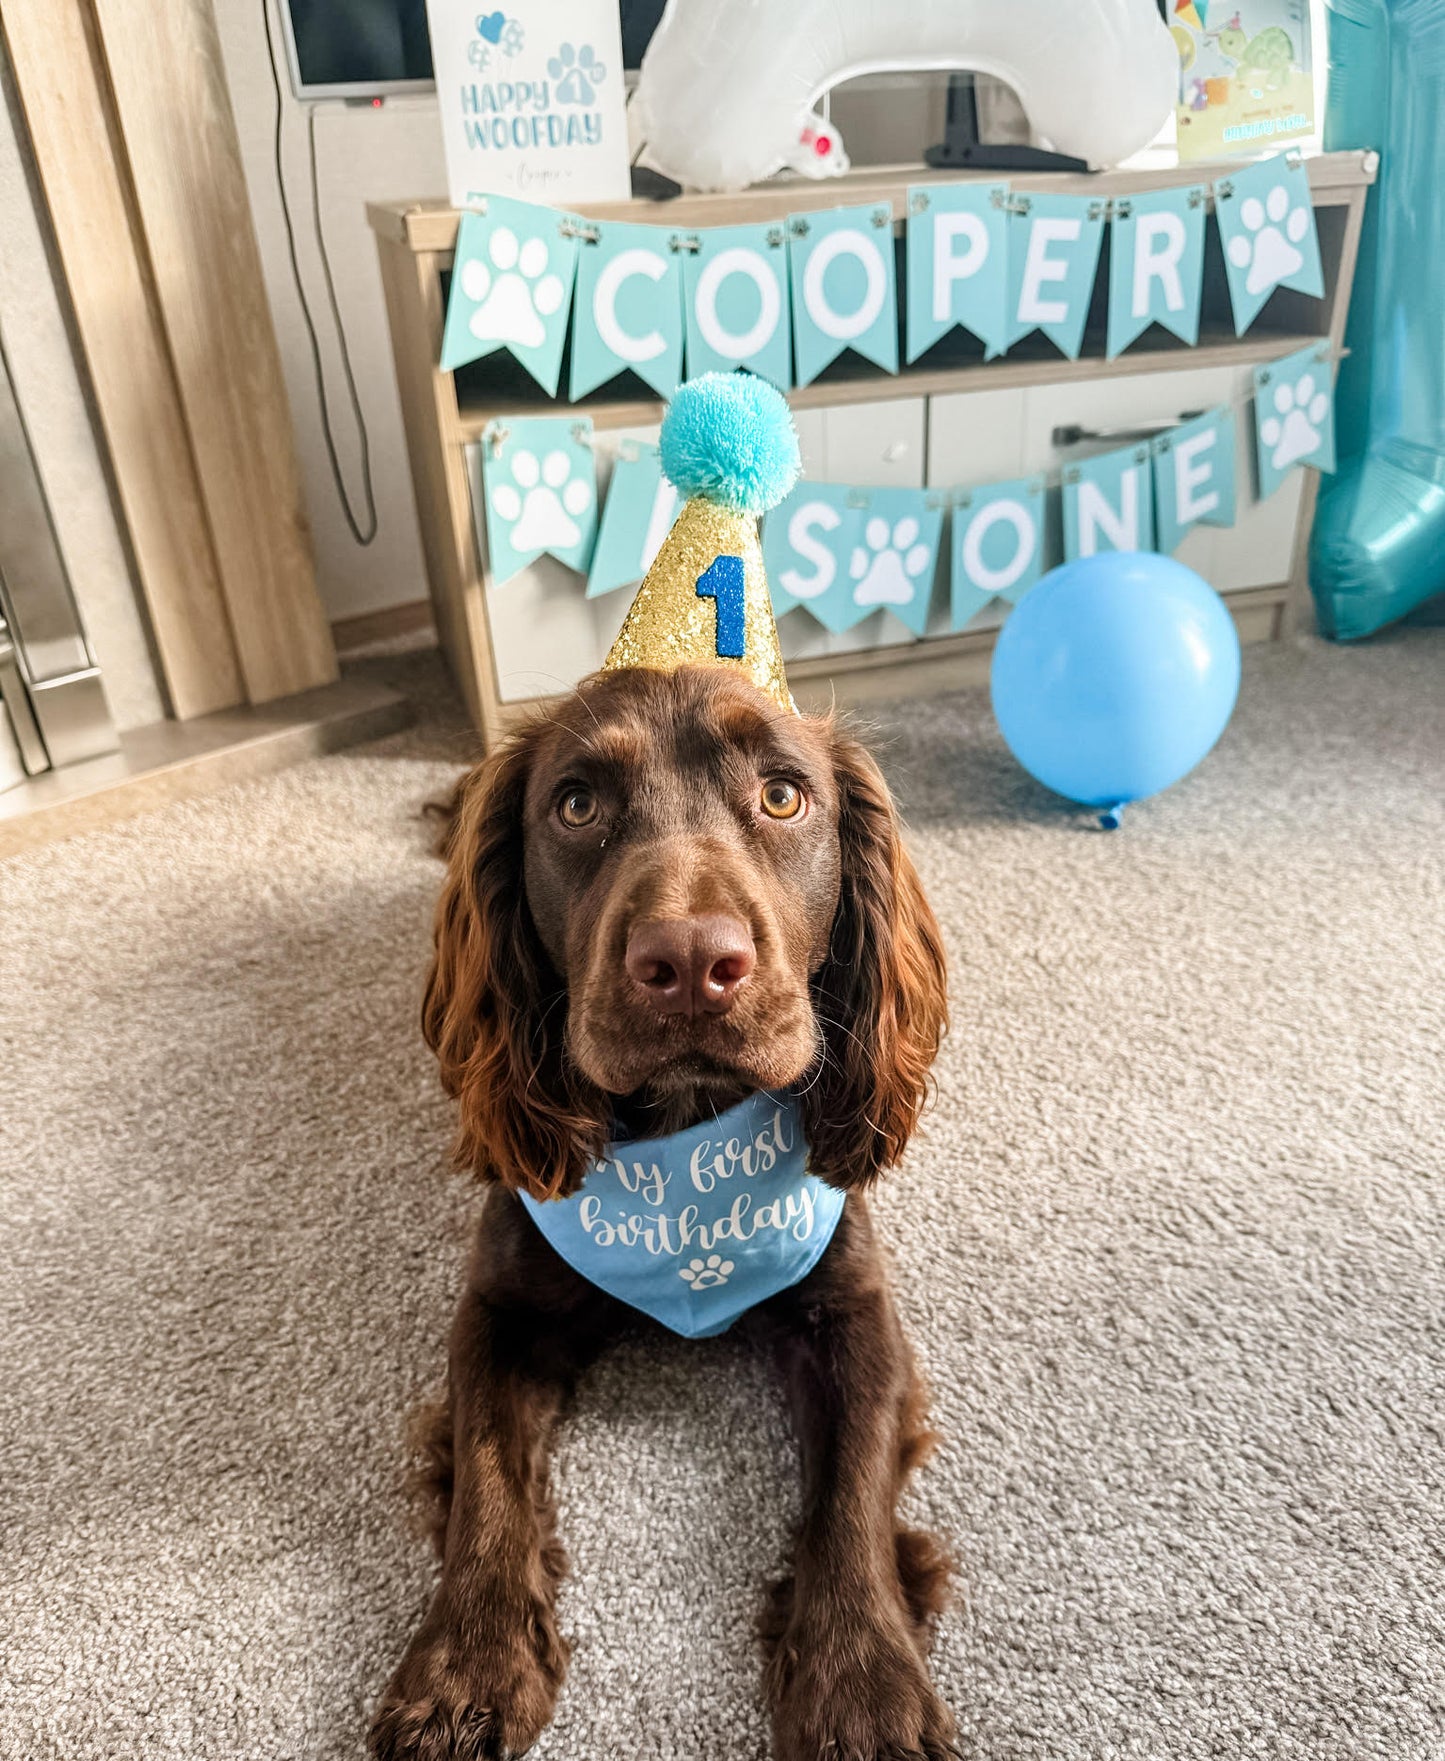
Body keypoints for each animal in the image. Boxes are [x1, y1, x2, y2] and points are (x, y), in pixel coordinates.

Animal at [369, 662, 950, 1761]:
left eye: (781, 795)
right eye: (576, 806)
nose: (688, 964)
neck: (686, 1155)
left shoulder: (854, 1307)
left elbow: (850, 1495)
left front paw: (861, 1688)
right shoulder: (499, 1309)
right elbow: (488, 1481)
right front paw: (466, 1668)